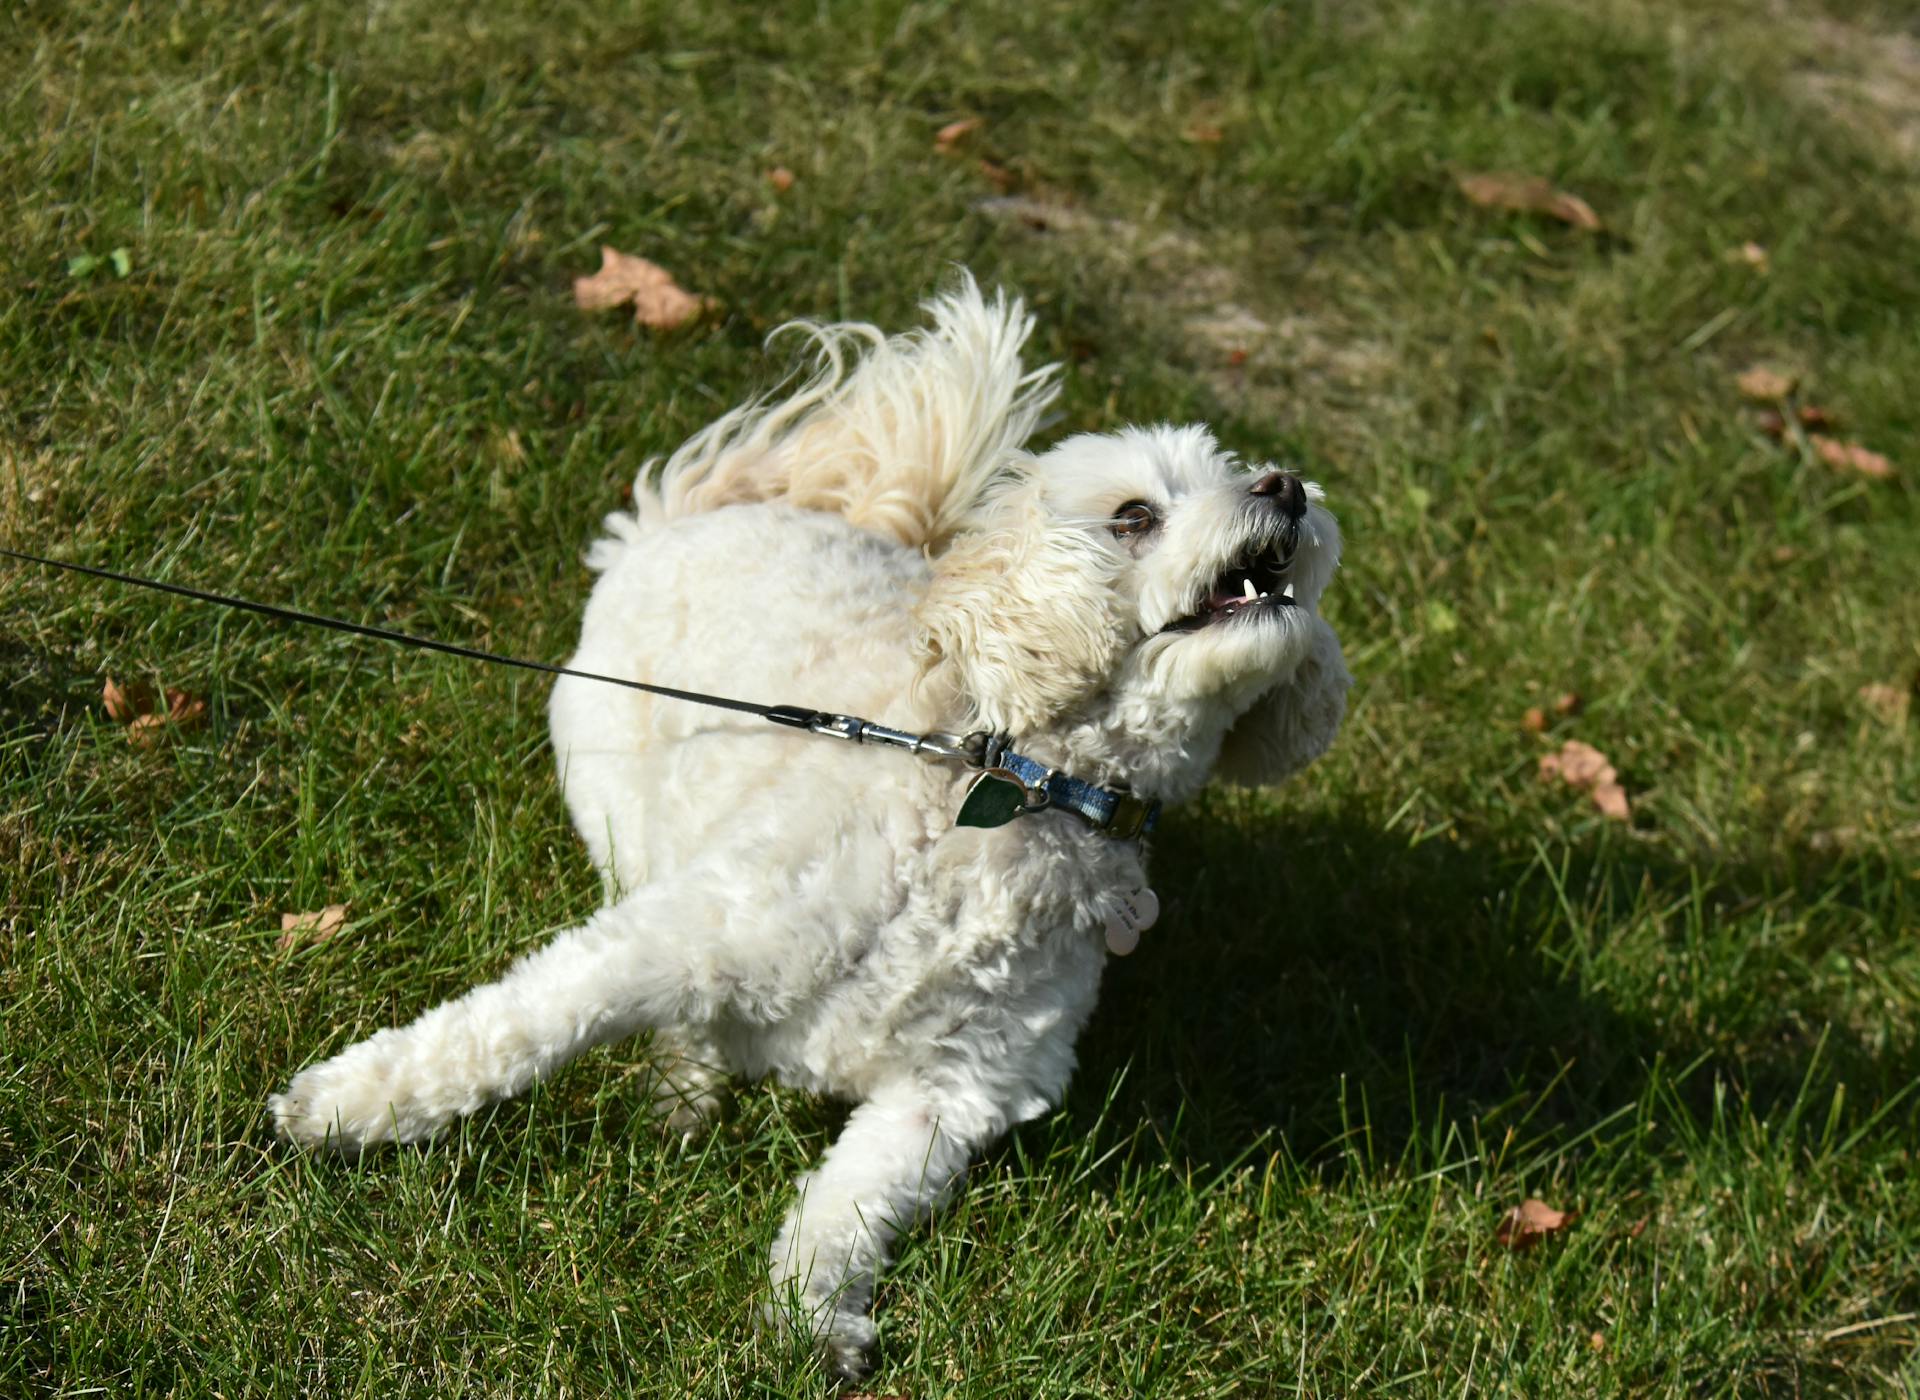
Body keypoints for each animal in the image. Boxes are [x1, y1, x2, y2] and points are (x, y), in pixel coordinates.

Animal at [266, 276, 1351, 1375]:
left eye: (1238, 473)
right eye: (1135, 515)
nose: (1287, 488)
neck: (1020, 785)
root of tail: (710, 510)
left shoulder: (955, 1087)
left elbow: (851, 1208)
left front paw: (810, 1315)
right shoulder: (679, 930)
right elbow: (508, 1024)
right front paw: (347, 1105)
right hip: (617, 800)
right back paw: (685, 1075)